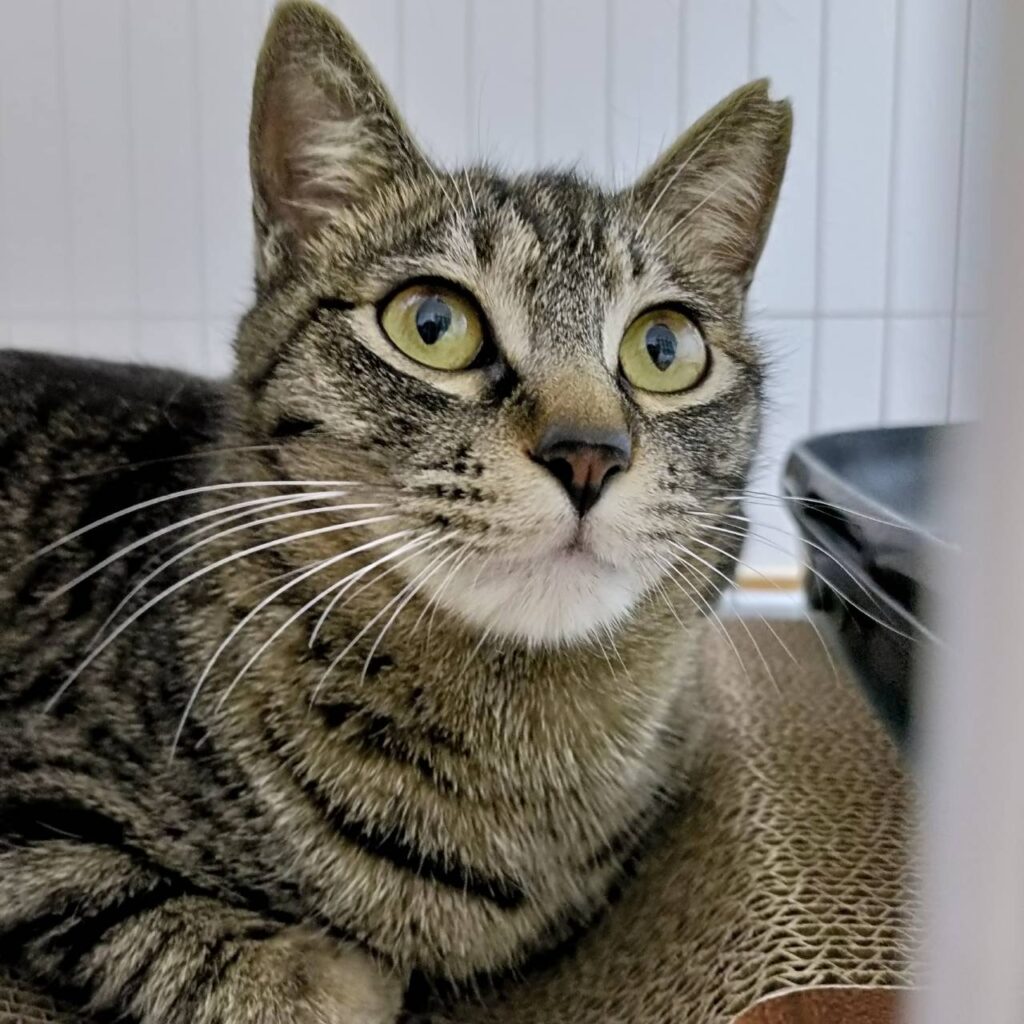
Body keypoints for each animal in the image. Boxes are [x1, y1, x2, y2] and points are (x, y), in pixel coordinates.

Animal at [0, 2, 791, 1022]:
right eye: (432, 325)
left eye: (664, 348)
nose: (590, 452)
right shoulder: (39, 806)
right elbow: (211, 946)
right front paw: (328, 977)